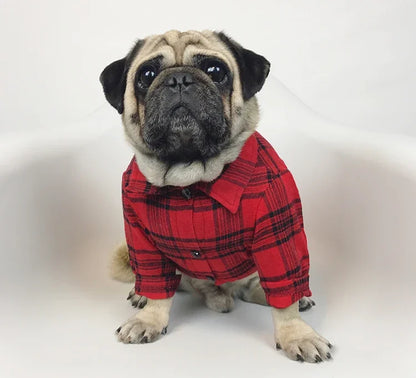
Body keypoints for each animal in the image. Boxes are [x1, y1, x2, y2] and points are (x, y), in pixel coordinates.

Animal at [100, 30, 332, 364]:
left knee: (264, 289)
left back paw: (299, 299)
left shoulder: (277, 235)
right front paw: (149, 319)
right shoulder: (140, 237)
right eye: (147, 75)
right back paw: (141, 293)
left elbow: (283, 296)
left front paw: (297, 334)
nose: (179, 79)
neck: (191, 175)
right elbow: (156, 283)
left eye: (215, 71)